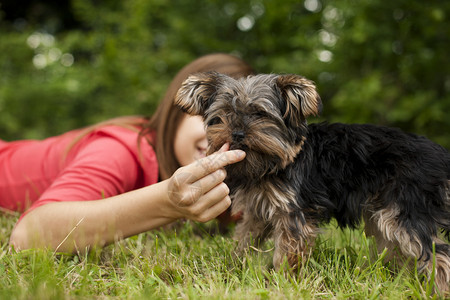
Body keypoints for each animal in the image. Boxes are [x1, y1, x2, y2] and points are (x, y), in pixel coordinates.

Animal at [175, 71, 450, 294]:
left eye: (260, 114)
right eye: (224, 115)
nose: (237, 134)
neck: (271, 164)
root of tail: (441, 156)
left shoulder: (293, 212)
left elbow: (288, 253)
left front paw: (283, 284)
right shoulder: (256, 210)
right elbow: (245, 239)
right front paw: (234, 269)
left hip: (405, 206)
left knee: (436, 253)